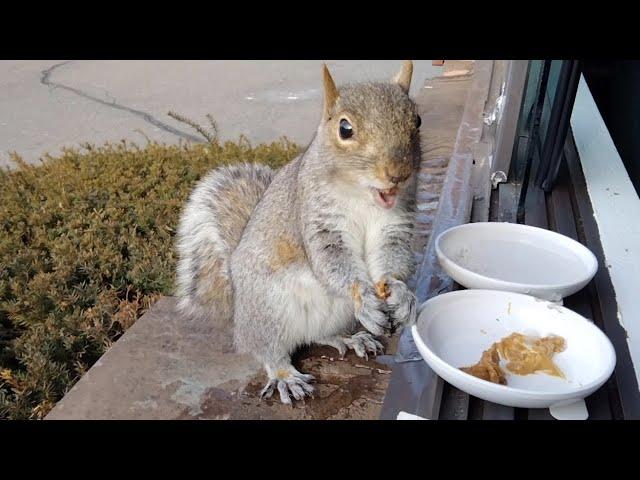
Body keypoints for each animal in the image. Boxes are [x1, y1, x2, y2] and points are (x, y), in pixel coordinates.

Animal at [178, 61, 422, 404]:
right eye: (345, 129)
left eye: (417, 121)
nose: (398, 174)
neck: (363, 197)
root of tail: (239, 310)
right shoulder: (316, 218)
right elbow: (332, 261)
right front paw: (364, 297)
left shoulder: (394, 225)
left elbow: (392, 258)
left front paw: (401, 294)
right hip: (269, 311)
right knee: (270, 350)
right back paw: (286, 376)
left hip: (332, 313)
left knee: (319, 334)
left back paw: (351, 339)